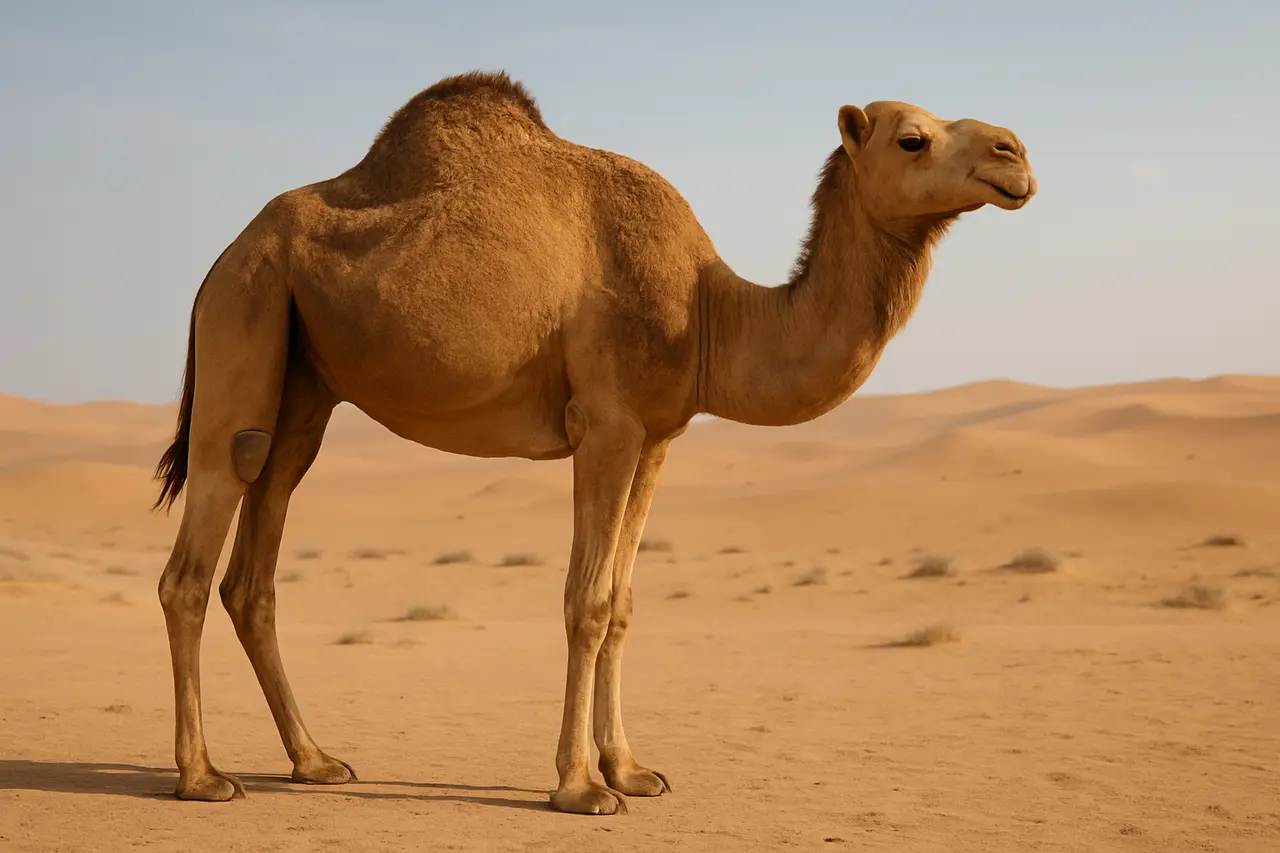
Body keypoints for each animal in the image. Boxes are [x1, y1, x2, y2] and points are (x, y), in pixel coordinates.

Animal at [151, 69, 1035, 815]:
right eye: (912, 138)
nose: (1016, 154)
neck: (710, 311)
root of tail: (221, 256)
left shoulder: (657, 435)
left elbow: (624, 601)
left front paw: (633, 769)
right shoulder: (606, 423)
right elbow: (587, 599)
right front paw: (579, 786)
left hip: (303, 383)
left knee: (255, 562)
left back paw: (315, 759)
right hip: (248, 313)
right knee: (194, 557)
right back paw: (203, 776)